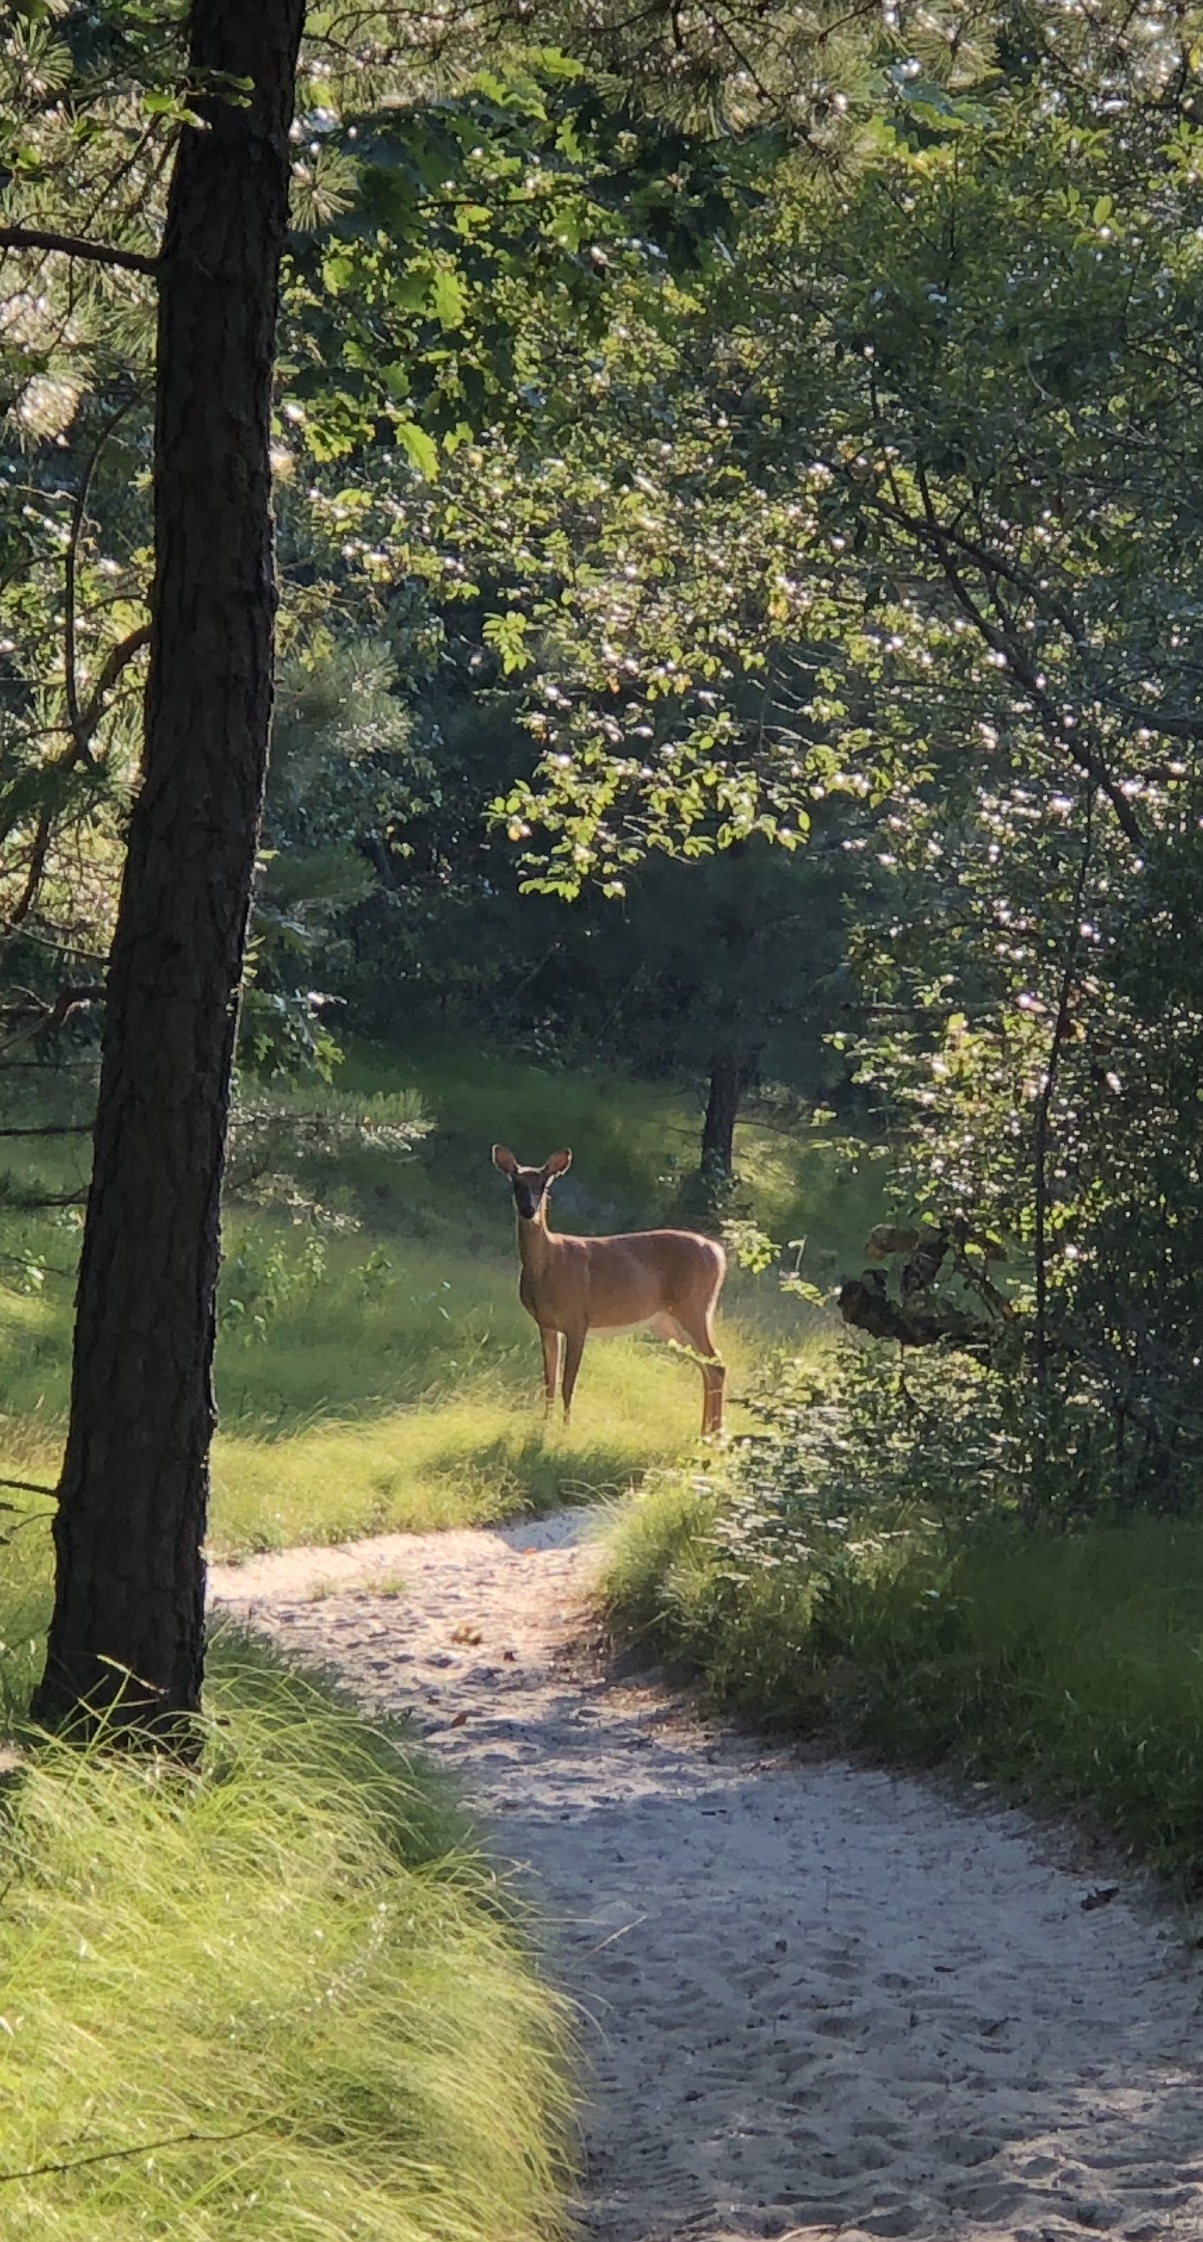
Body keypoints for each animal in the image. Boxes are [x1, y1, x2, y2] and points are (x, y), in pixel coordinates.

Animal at [488, 1138, 721, 1434]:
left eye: (544, 1185)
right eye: (516, 1183)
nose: (529, 1211)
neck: (548, 1265)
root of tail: (719, 1255)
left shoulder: (578, 1321)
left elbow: (568, 1384)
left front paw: (565, 1431)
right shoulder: (547, 1324)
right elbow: (549, 1380)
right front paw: (544, 1425)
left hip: (694, 1307)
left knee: (717, 1364)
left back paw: (714, 1434)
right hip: (666, 1322)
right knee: (706, 1366)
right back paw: (705, 1432)